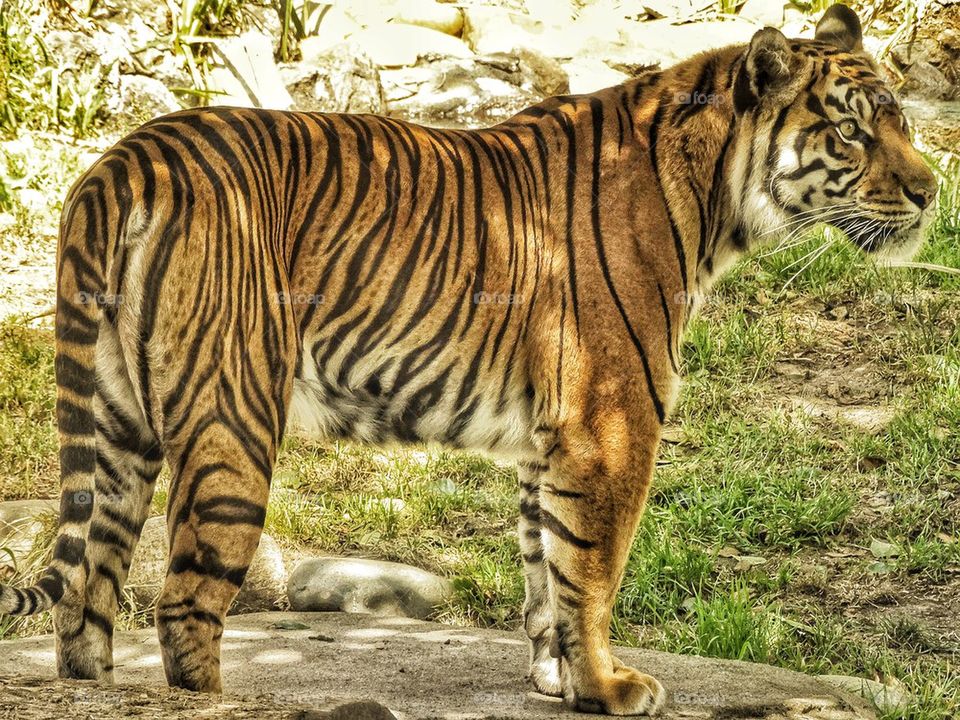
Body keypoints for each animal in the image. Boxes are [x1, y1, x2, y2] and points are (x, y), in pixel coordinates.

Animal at [0, 4, 936, 715]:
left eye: (901, 122)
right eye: (850, 132)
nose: (931, 192)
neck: (715, 200)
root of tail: (124, 159)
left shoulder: (551, 440)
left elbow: (547, 568)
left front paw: (561, 680)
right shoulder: (612, 423)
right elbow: (594, 571)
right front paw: (608, 686)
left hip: (118, 427)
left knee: (87, 600)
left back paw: (93, 687)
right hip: (232, 425)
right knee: (184, 605)